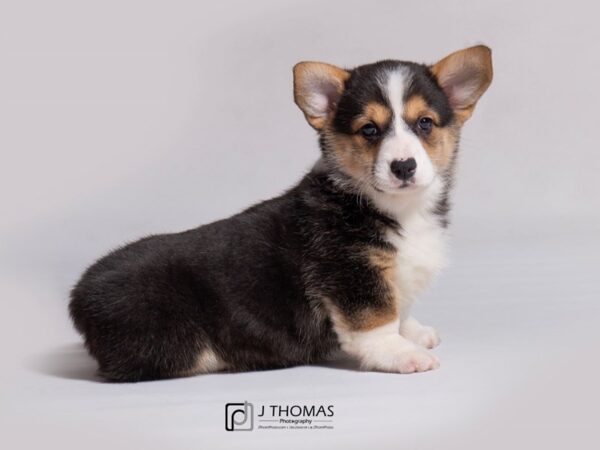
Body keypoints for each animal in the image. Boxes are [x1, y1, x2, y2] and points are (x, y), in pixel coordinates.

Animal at [69, 45, 492, 382]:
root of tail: (79, 296)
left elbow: (398, 307)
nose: (403, 166)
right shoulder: (351, 274)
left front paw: (414, 332)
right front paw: (401, 353)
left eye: (425, 123)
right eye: (370, 130)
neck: (397, 209)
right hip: (176, 338)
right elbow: (376, 321)